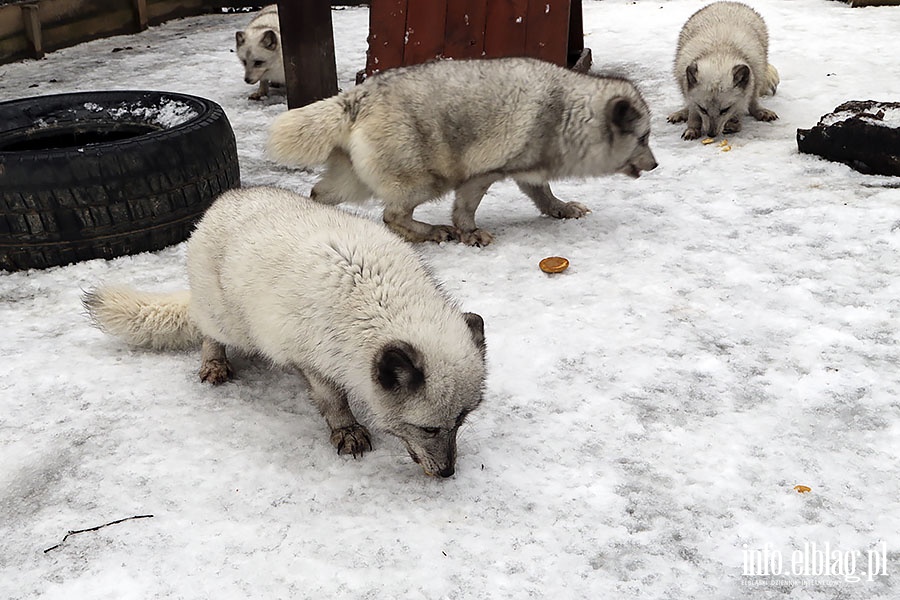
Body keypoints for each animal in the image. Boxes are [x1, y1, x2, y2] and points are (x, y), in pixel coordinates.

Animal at [85, 188, 488, 478]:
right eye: (429, 429)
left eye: (461, 421)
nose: (448, 472)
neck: (380, 305)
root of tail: (224, 199)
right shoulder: (313, 358)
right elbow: (333, 401)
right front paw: (346, 430)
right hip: (227, 321)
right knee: (208, 333)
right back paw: (214, 363)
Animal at [668, 1, 780, 139]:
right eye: (703, 109)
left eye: (725, 110)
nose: (711, 134)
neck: (719, 51)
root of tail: (727, 2)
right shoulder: (688, 87)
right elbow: (693, 110)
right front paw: (692, 128)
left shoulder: (753, 76)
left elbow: (746, 103)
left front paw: (734, 123)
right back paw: (682, 113)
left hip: (759, 72)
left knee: (753, 100)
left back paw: (758, 111)